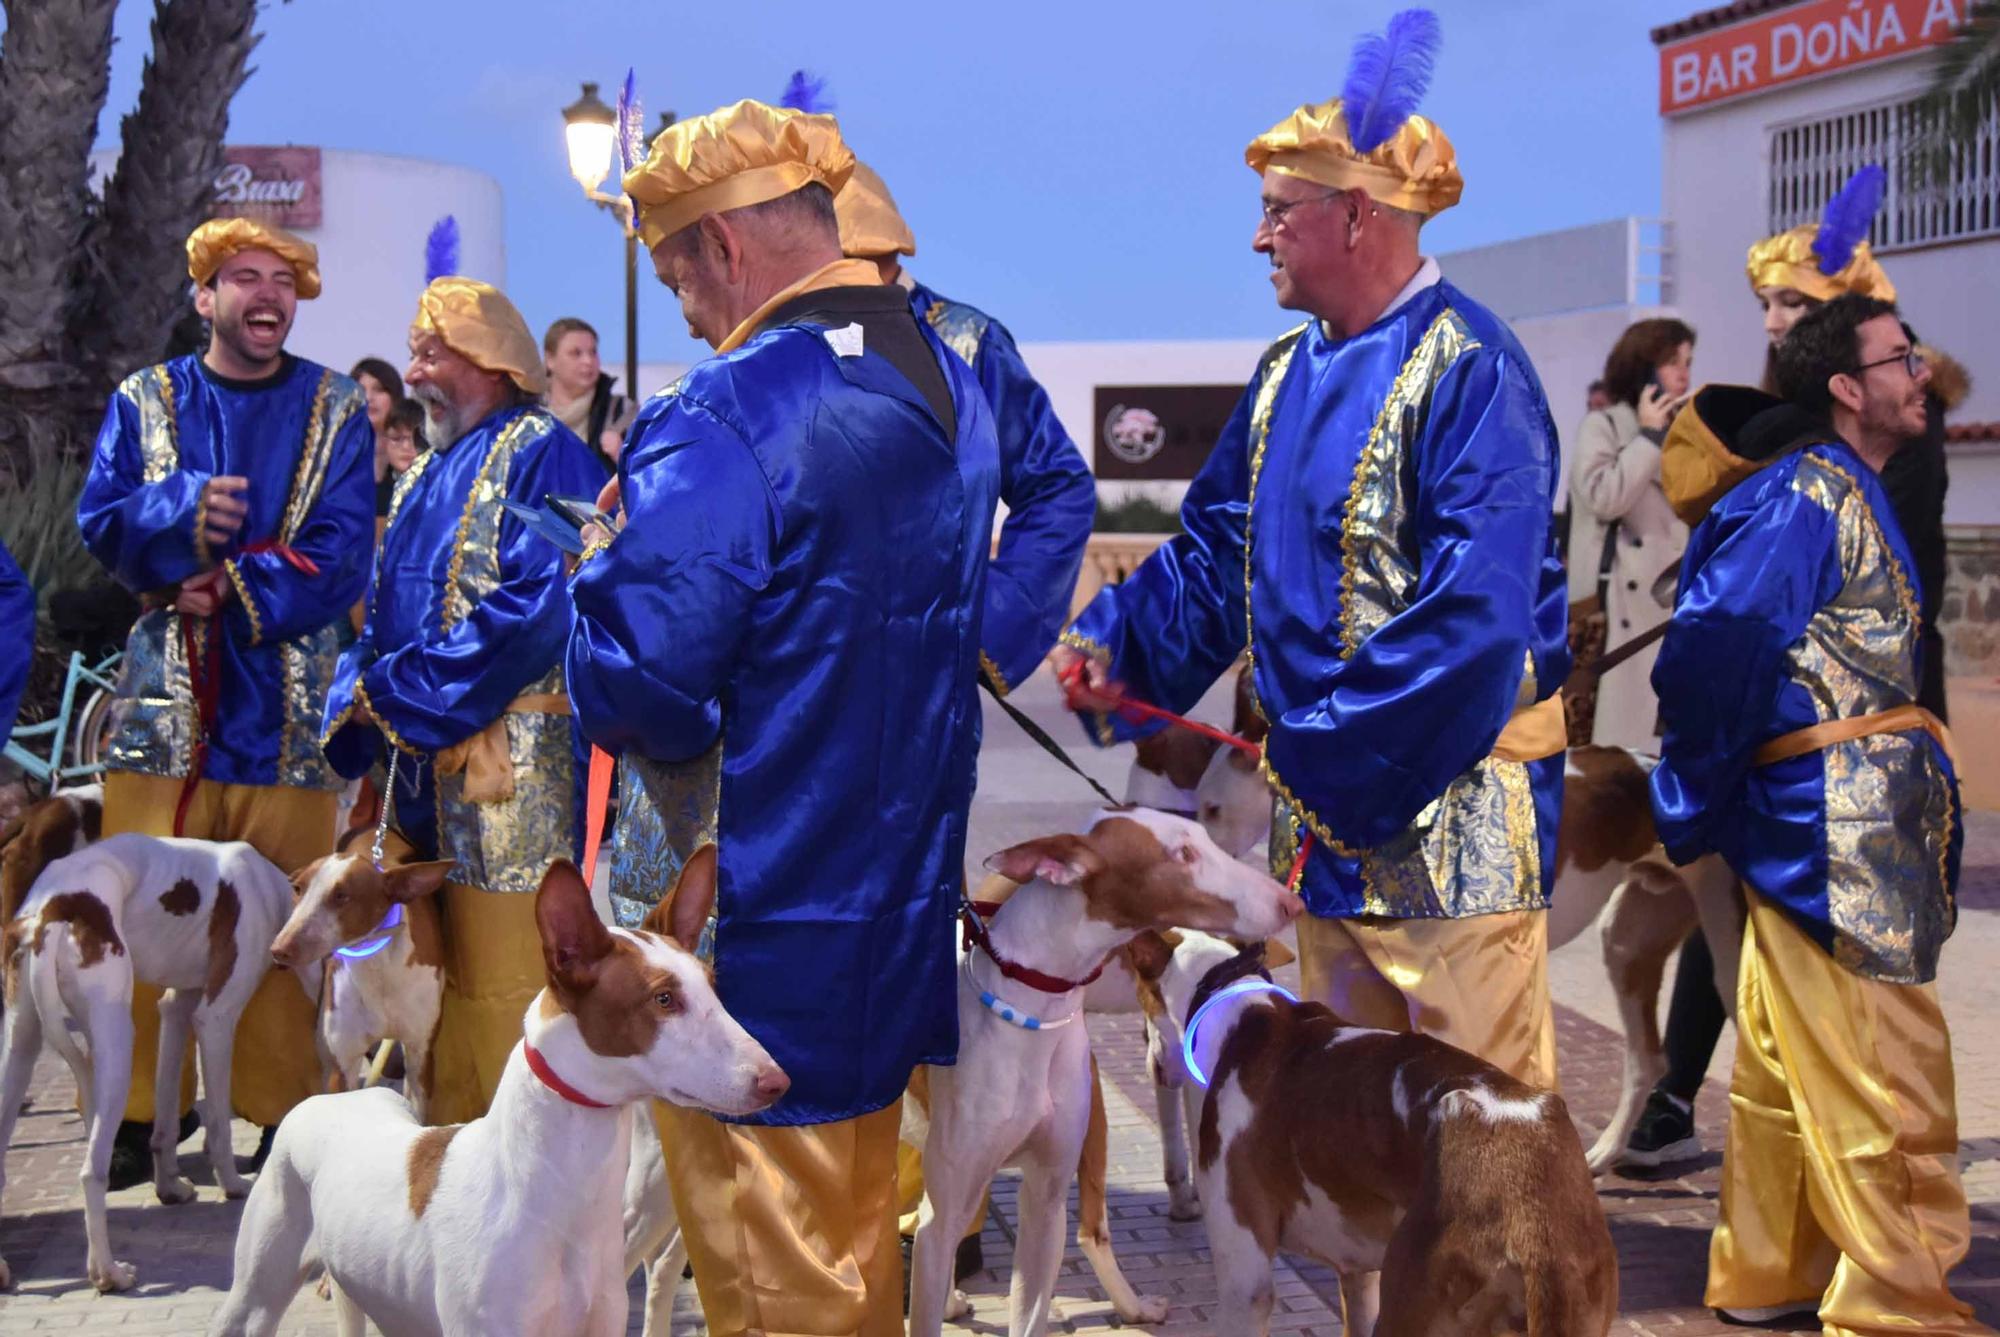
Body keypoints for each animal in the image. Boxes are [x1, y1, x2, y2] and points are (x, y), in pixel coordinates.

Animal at [0, 828, 304, 1288]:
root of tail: (54, 907)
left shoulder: (177, 1009)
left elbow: (164, 1120)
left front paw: (170, 1188)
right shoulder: (215, 1018)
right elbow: (218, 1123)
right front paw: (233, 1184)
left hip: (19, 1046)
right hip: (115, 1044)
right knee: (92, 1171)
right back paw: (108, 1272)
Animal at [209, 856, 788, 1337]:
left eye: (713, 988)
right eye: (663, 999)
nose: (777, 1081)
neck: (555, 1197)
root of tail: (337, 1099)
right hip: (253, 1299)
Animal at [912, 804, 1312, 1337]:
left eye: (1206, 839)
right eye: (1182, 854)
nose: (1292, 903)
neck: (1029, 1001)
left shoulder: (1044, 1202)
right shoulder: (943, 1215)